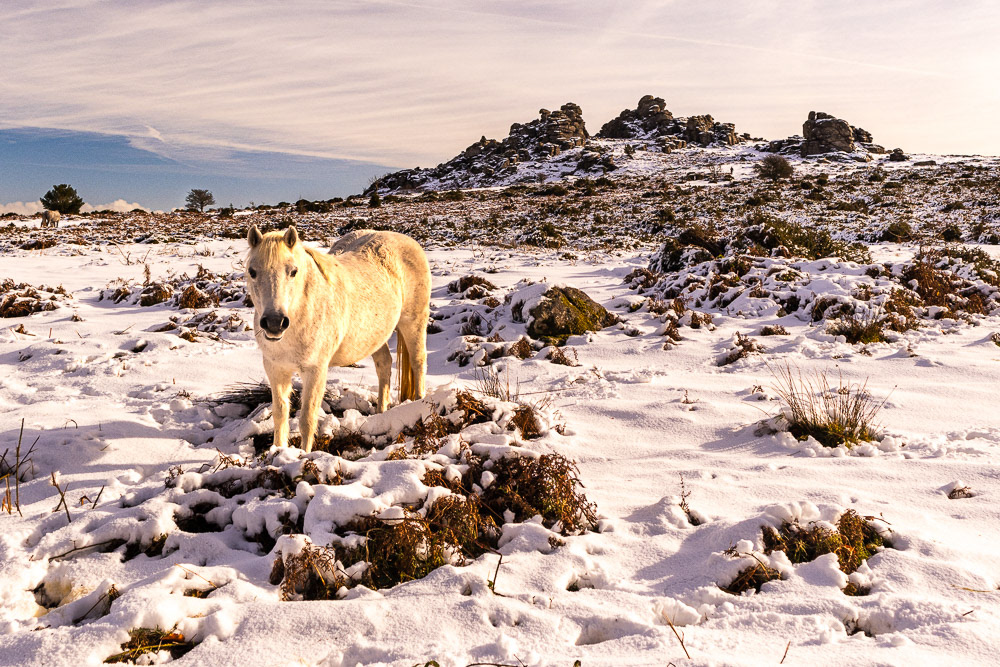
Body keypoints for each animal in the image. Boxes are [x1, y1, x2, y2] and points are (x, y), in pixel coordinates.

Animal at [245, 225, 430, 452]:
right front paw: (279, 451)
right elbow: (280, 415)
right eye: (252, 271)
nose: (274, 322)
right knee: (384, 364)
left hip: (414, 323)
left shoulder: (315, 371)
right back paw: (380, 412)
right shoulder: (276, 369)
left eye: (293, 271)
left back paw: (419, 403)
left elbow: (307, 418)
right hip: (374, 336)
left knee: (418, 362)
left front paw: (304, 455)